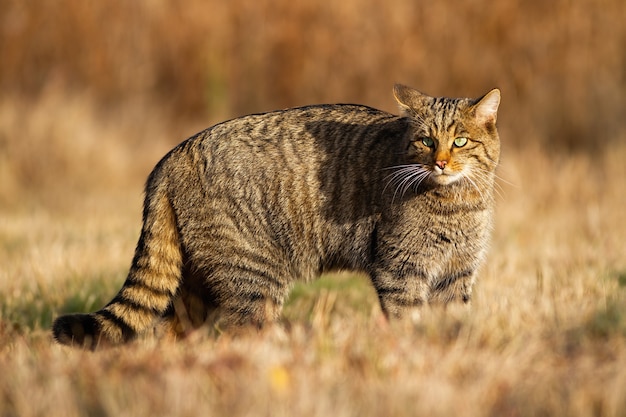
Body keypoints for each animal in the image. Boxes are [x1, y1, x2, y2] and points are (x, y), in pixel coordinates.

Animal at [51, 84, 500, 348]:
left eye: (460, 142)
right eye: (425, 140)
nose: (440, 162)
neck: (457, 202)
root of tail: (174, 154)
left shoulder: (457, 274)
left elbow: (452, 321)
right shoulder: (400, 270)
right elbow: (407, 320)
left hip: (198, 282)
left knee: (168, 327)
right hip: (253, 276)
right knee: (243, 330)